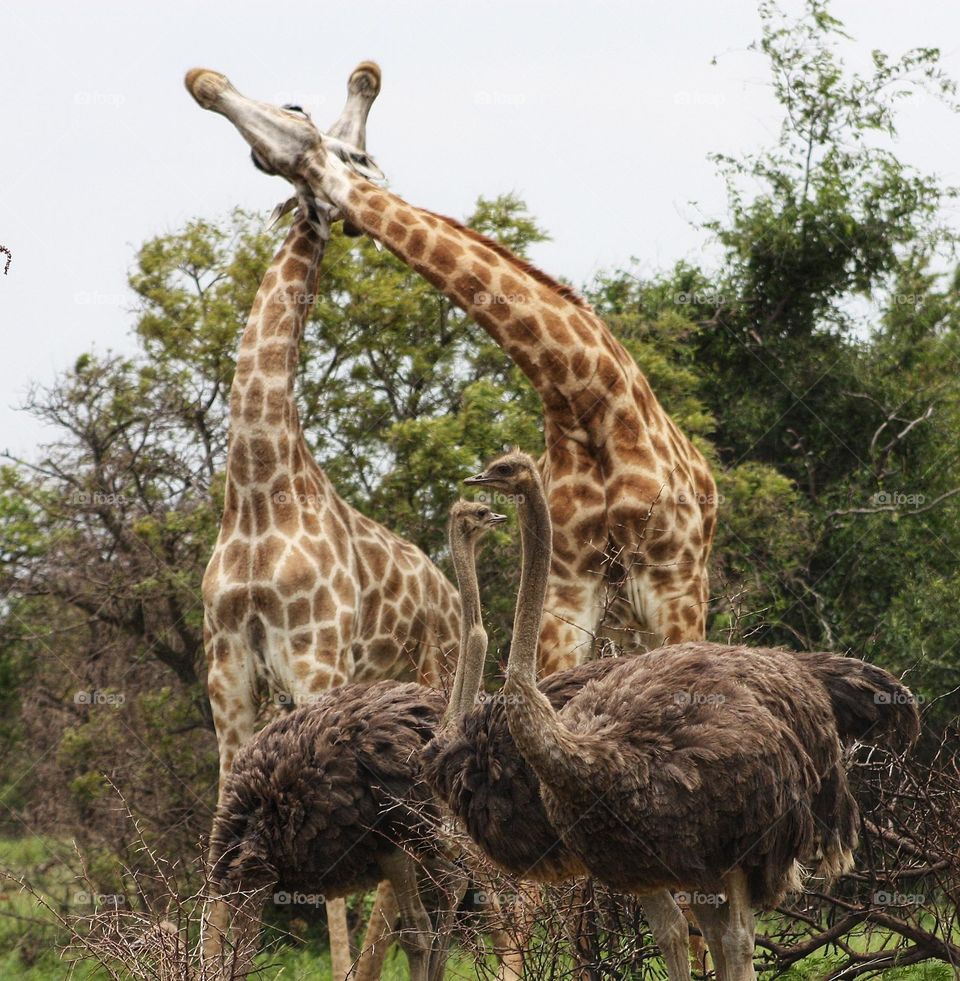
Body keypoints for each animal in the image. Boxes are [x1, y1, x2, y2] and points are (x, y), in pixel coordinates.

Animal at [198, 64, 460, 980]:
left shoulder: (315, 660)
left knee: (416, 868)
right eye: (299, 109)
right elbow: (219, 841)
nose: (206, 81)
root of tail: (454, 598)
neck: (256, 490)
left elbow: (331, 889)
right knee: (404, 875)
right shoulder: (227, 672)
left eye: (356, 151)